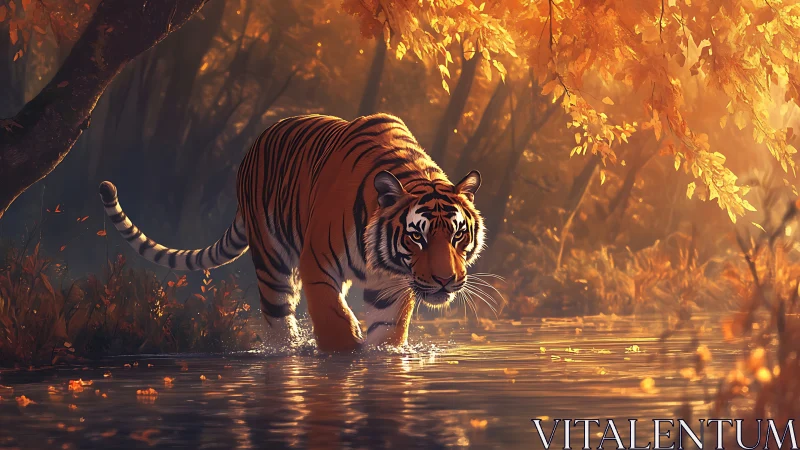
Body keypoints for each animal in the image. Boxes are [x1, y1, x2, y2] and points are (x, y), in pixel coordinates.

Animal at [98, 113, 486, 352]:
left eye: (457, 235)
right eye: (416, 236)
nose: (445, 280)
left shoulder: (390, 286)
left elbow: (387, 331)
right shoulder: (317, 262)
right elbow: (333, 320)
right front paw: (346, 354)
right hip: (272, 262)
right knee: (278, 320)